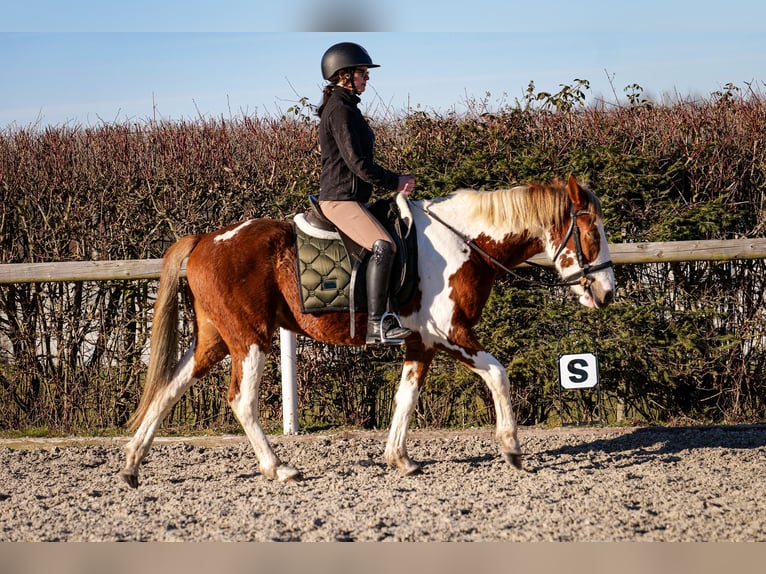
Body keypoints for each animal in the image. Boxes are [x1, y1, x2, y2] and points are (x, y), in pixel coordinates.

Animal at [120, 176, 616, 490]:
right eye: (592, 234)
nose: (607, 292)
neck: (465, 242)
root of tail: (206, 239)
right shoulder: (451, 333)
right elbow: (498, 373)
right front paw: (511, 448)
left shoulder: (421, 343)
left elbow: (405, 397)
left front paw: (400, 458)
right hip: (249, 339)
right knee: (241, 401)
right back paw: (279, 468)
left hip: (214, 340)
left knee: (169, 388)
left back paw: (131, 465)